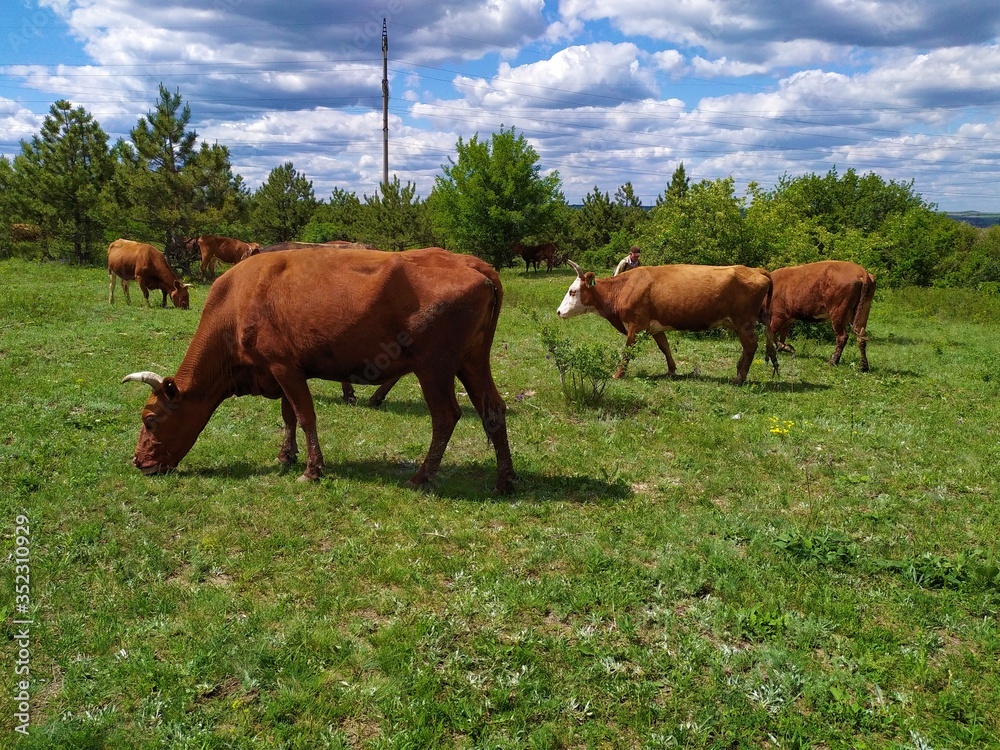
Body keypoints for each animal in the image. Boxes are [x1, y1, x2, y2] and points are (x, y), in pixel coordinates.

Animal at [121, 246, 515, 493]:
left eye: (149, 420)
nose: (138, 462)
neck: (237, 302)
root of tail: (473, 264)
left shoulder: (283, 365)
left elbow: (305, 414)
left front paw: (312, 470)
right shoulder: (280, 370)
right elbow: (288, 415)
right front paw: (286, 455)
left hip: (434, 366)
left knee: (446, 416)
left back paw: (421, 477)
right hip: (472, 361)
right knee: (493, 410)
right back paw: (505, 481)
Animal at [557, 260, 778, 384]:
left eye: (573, 291)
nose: (559, 312)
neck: (623, 288)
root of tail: (757, 270)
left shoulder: (635, 326)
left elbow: (627, 352)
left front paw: (617, 374)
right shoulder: (654, 327)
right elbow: (665, 347)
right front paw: (672, 370)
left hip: (744, 322)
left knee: (750, 345)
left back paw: (740, 377)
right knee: (747, 347)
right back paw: (739, 369)